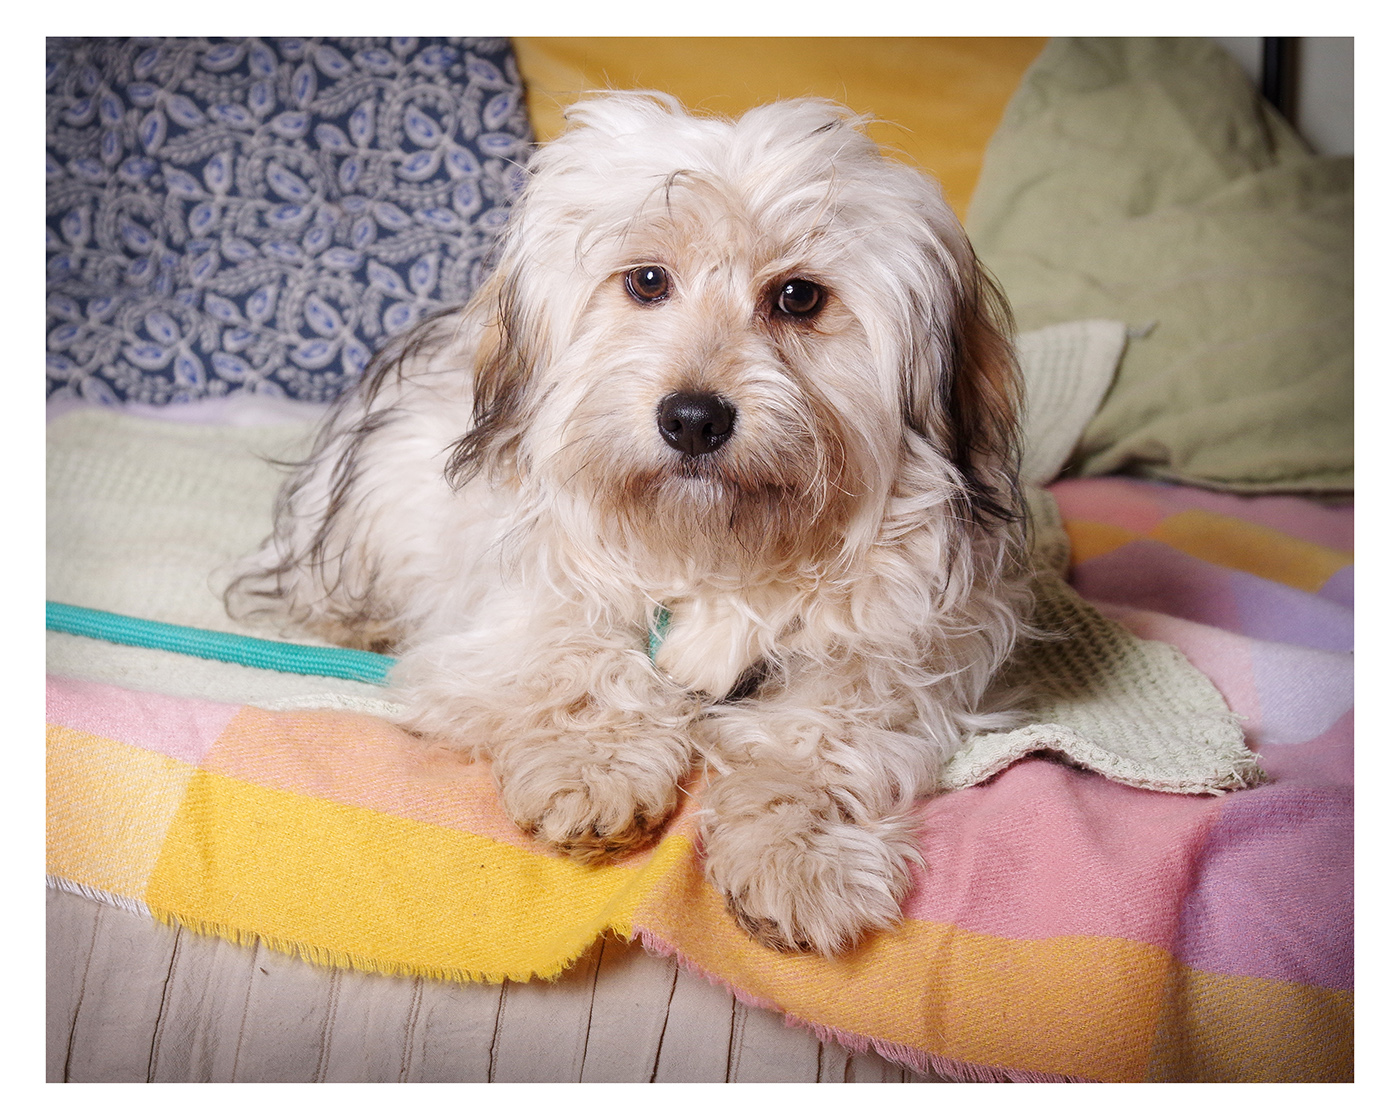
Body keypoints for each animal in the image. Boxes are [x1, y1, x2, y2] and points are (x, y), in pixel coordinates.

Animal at [229, 92, 1032, 956]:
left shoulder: (888, 668)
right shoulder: (513, 620)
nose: (693, 418)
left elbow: (815, 745)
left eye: (798, 297)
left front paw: (797, 854)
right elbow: (583, 663)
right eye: (648, 281)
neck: (714, 553)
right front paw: (592, 768)